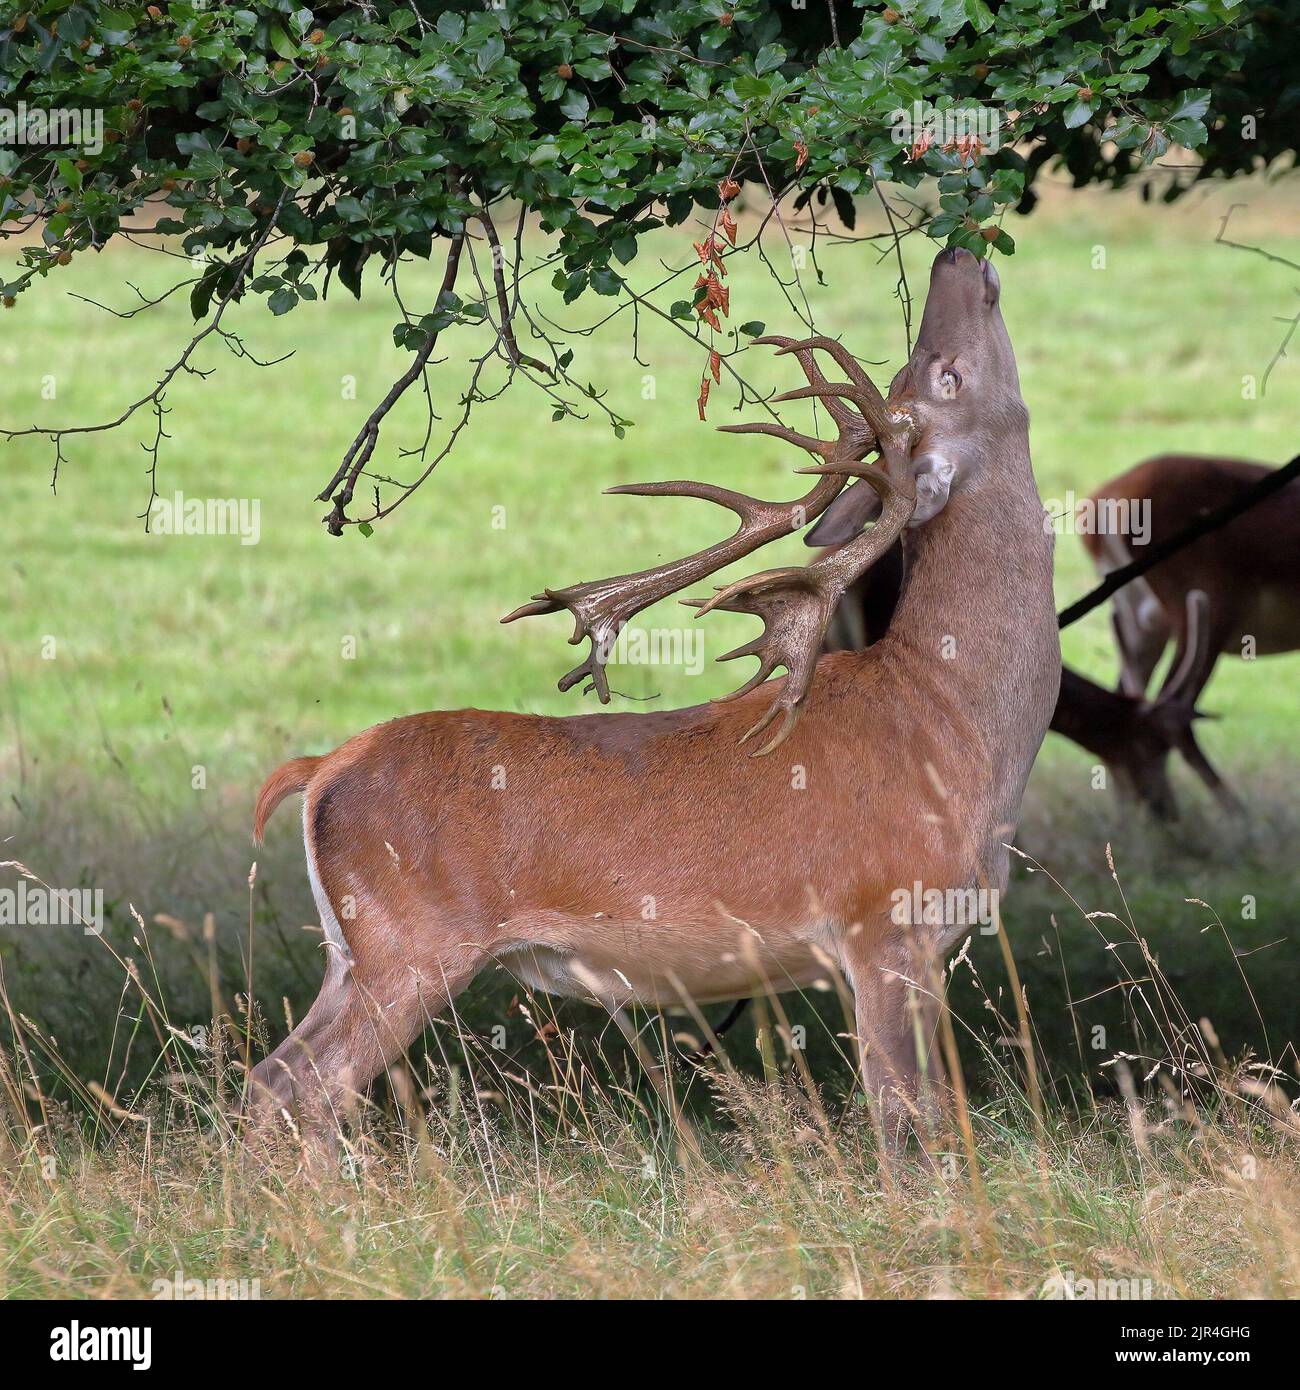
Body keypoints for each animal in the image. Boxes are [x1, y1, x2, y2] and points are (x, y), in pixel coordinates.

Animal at [247, 247, 1060, 1142]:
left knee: (269, 1076)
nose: (957, 254)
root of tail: (322, 769)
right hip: (410, 943)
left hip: (348, 952)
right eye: (943, 374)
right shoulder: (883, 919)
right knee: (307, 1086)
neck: (956, 718)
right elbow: (905, 1120)